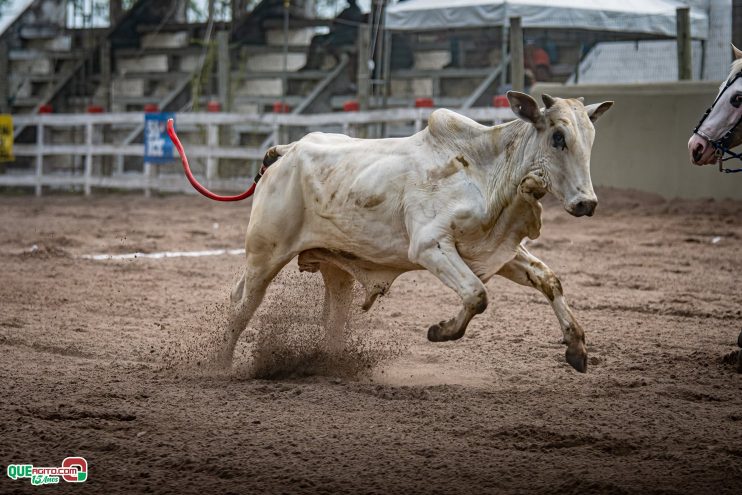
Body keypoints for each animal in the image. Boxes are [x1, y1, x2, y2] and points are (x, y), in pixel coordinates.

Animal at [222, 92, 616, 372]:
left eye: (591, 137)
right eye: (558, 136)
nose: (587, 202)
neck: (484, 170)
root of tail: (286, 150)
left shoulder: (495, 249)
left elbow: (548, 279)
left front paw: (577, 347)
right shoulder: (431, 246)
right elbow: (477, 294)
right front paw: (441, 331)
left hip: (335, 268)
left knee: (332, 317)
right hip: (264, 255)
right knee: (241, 306)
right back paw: (220, 366)